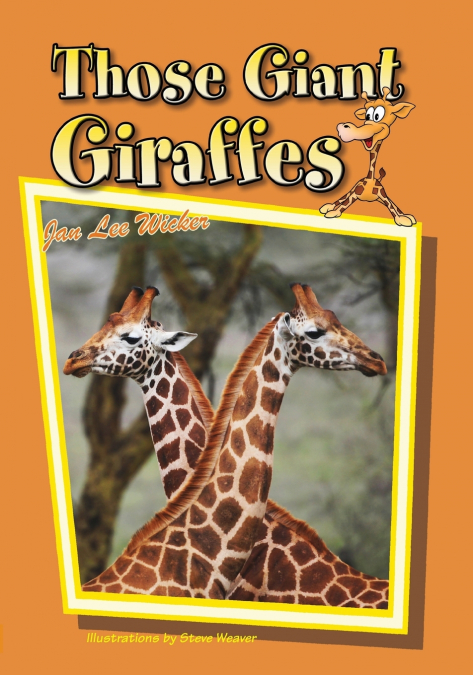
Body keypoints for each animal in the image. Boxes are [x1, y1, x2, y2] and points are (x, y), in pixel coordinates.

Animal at [320, 88, 416, 226]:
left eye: (378, 116)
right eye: (367, 116)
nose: (344, 126)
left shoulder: (383, 196)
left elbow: (392, 206)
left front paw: (402, 218)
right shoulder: (355, 193)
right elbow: (345, 203)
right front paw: (333, 212)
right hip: (353, 188)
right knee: (343, 197)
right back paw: (329, 206)